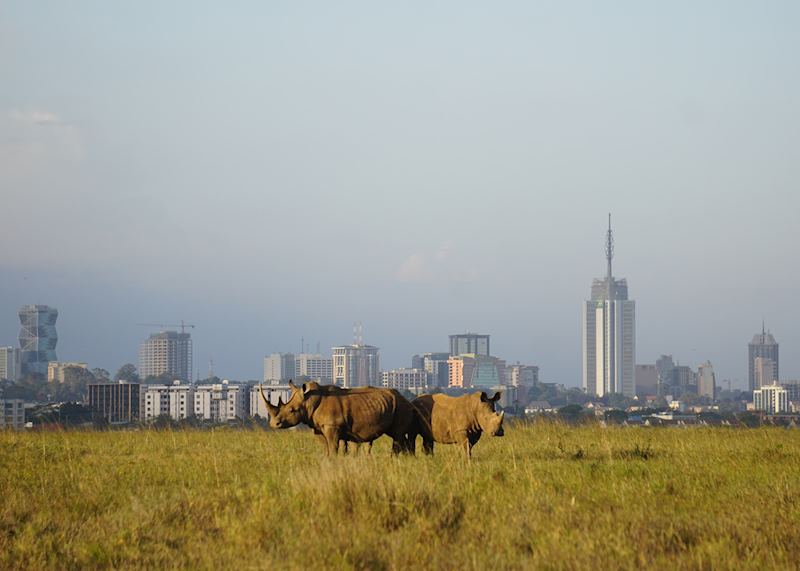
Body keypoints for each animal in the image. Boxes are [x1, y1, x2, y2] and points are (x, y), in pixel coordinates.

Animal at [259, 381, 418, 455]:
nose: (274, 424)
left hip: (401, 406)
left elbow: (333, 447)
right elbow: (326, 448)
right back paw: (407, 459)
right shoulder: (318, 427)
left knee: (397, 435)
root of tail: (408, 400)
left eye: (292, 410)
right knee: (398, 435)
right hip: (393, 405)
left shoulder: (332, 426)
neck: (309, 401)